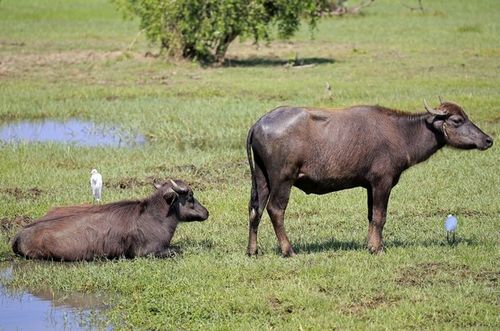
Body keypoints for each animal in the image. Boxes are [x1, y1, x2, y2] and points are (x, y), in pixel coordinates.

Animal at [11, 179, 208, 262]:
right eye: (190, 195)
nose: (206, 212)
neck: (155, 217)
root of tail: (20, 233)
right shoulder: (147, 252)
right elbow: (178, 250)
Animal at [246, 98, 492, 256]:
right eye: (458, 120)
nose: (488, 140)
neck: (402, 133)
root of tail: (258, 123)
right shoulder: (382, 182)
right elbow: (380, 216)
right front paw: (378, 248)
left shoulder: (369, 187)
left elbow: (371, 216)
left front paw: (370, 244)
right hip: (283, 179)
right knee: (275, 210)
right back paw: (288, 250)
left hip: (261, 178)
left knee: (255, 210)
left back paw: (252, 250)